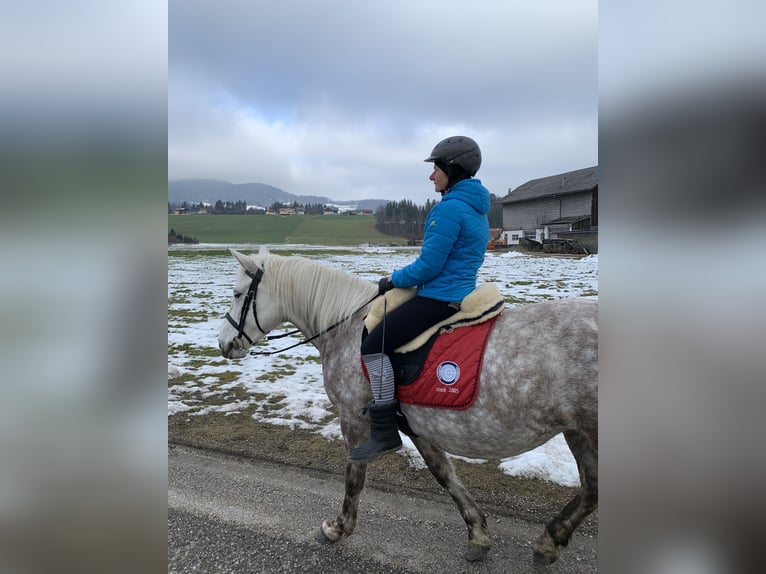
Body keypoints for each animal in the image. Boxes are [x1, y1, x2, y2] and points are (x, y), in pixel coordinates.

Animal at [216, 249, 600, 568]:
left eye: (237, 294)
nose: (224, 343)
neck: (347, 327)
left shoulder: (353, 418)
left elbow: (354, 477)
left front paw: (337, 528)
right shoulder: (418, 426)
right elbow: (444, 475)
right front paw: (478, 535)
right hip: (578, 431)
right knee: (591, 489)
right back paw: (548, 542)